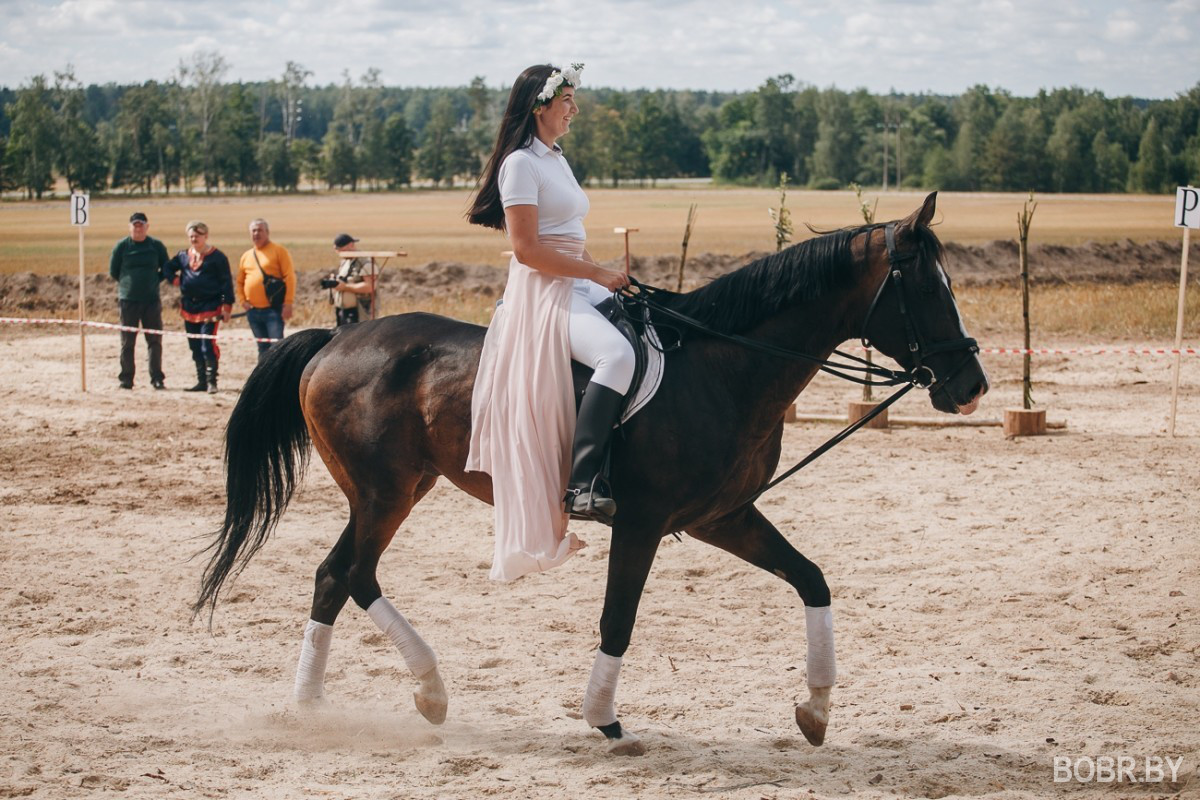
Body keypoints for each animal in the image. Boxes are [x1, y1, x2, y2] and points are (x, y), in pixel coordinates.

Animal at [194, 194, 984, 758]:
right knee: (349, 574)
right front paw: (604, 718)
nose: (971, 385)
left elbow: (812, 579)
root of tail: (338, 338)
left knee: (338, 576)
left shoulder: (721, 517)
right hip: (383, 493)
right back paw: (403, 695)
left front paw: (815, 709)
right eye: (927, 290)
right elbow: (618, 618)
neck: (727, 365)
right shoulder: (642, 523)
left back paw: (345, 703)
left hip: (400, 488)